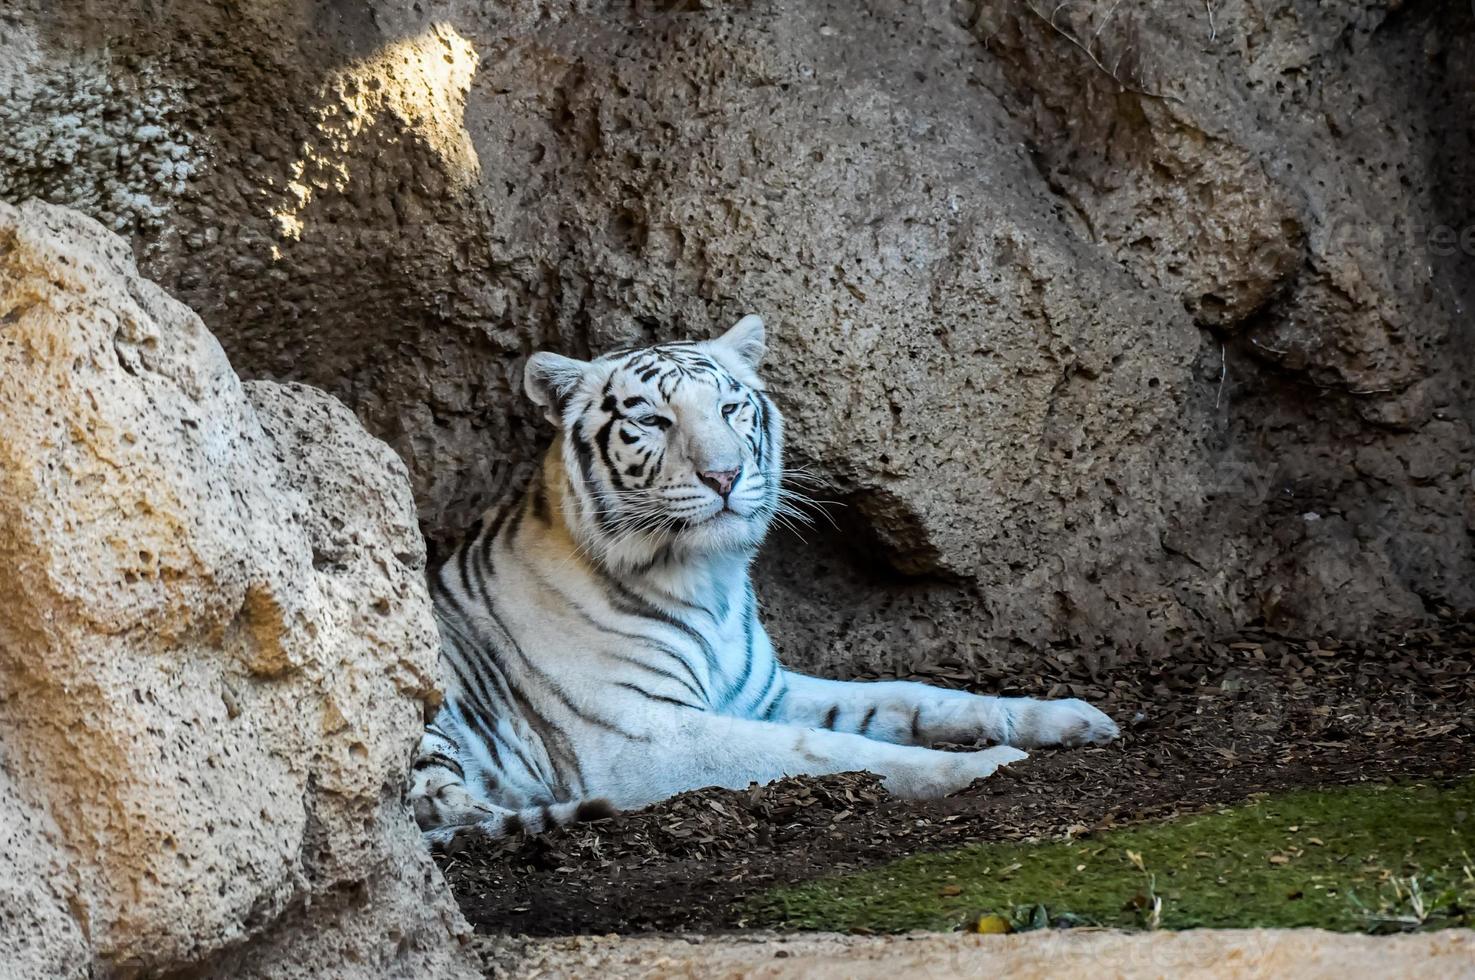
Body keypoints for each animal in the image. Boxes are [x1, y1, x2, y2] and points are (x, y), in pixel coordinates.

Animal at [407, 314, 1115, 844]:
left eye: (729, 407)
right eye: (653, 421)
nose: (724, 475)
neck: (705, 581)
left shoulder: (760, 694)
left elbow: (911, 699)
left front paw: (1068, 718)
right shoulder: (648, 736)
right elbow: (830, 750)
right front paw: (989, 765)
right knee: (439, 816)